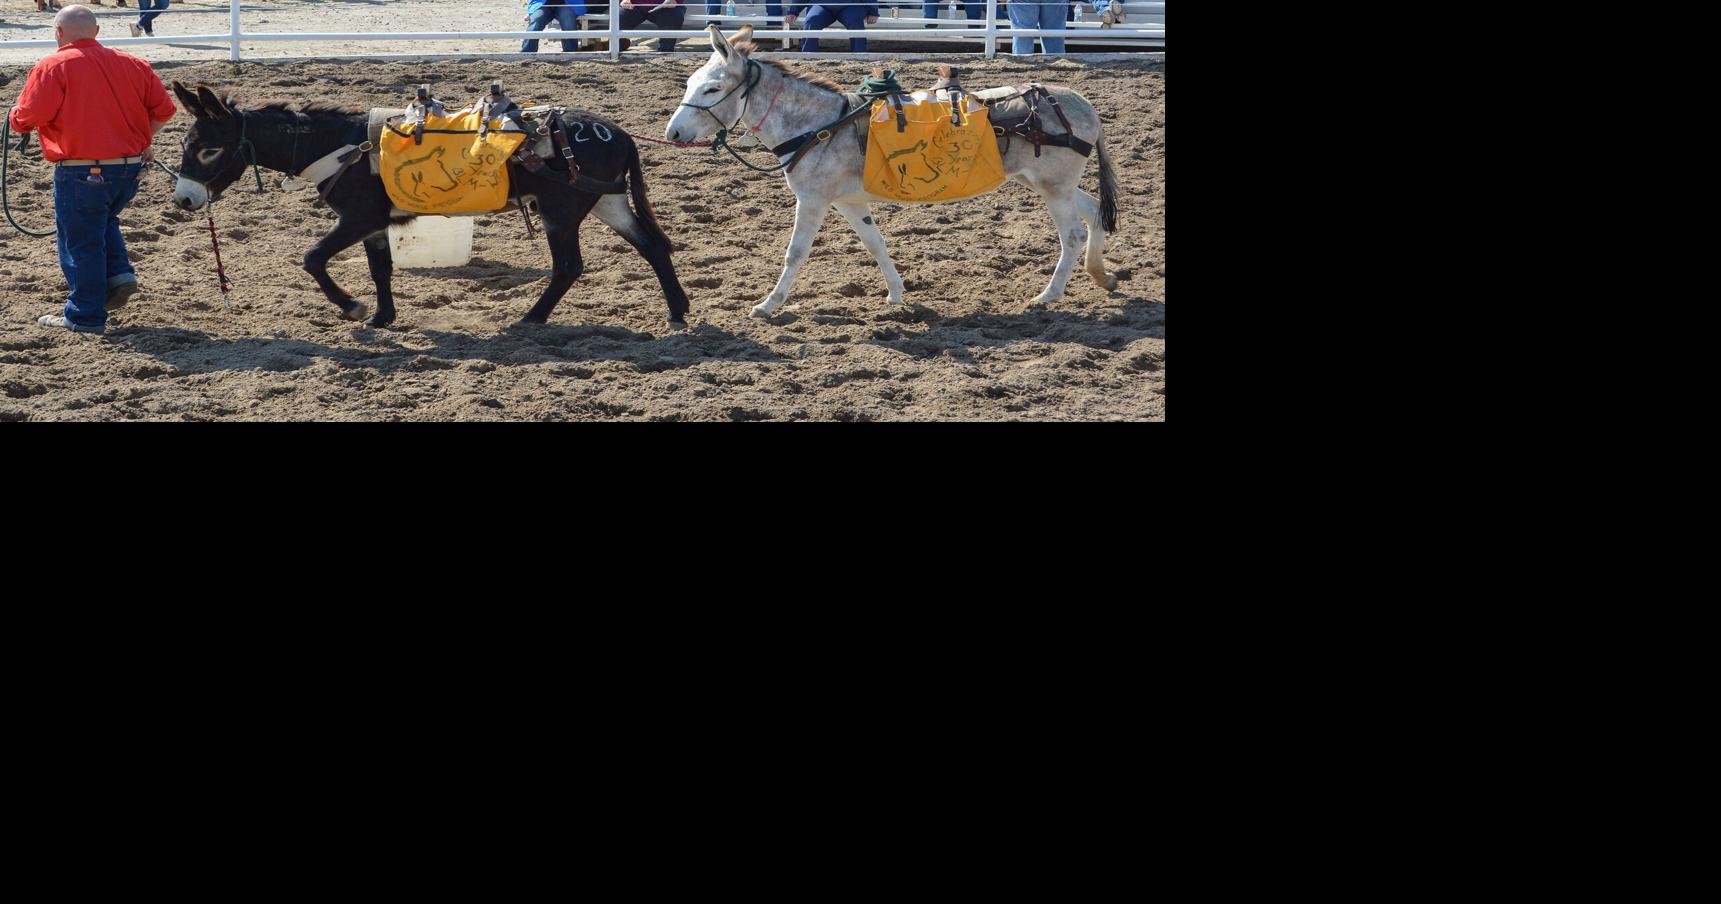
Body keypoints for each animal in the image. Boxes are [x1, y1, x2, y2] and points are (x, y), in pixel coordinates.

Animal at [167, 82, 691, 330]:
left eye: (209, 149)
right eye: (187, 143)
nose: (184, 198)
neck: (341, 145)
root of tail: (616, 132)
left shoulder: (357, 218)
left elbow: (312, 258)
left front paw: (353, 307)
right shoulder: (374, 225)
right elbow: (381, 269)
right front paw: (382, 317)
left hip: (561, 213)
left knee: (568, 266)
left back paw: (532, 318)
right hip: (608, 201)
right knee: (652, 248)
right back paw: (678, 310)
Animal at [663, 25, 1121, 320]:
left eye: (713, 88)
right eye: (690, 82)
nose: (673, 133)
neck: (821, 124)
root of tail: (1079, 101)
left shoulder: (813, 200)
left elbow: (796, 252)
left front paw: (768, 305)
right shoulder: (849, 202)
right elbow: (875, 244)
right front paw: (897, 294)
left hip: (1054, 188)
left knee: (1072, 234)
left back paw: (1049, 294)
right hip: (1050, 184)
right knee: (1094, 213)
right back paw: (1101, 276)